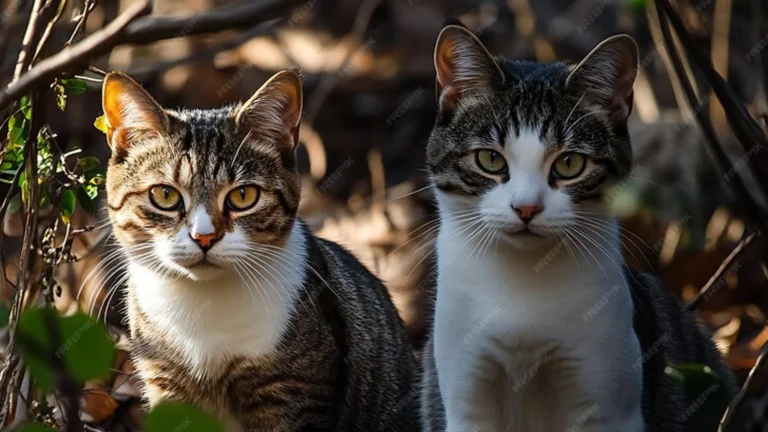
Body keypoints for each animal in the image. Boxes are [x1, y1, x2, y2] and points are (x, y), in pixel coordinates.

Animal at [103, 69, 420, 430]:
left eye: (243, 196)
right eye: (165, 196)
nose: (204, 237)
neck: (205, 305)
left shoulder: (294, 391)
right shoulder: (166, 381)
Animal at [420, 24, 736, 432]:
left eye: (569, 164)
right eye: (490, 159)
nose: (526, 207)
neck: (521, 287)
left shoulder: (607, 401)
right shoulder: (467, 394)